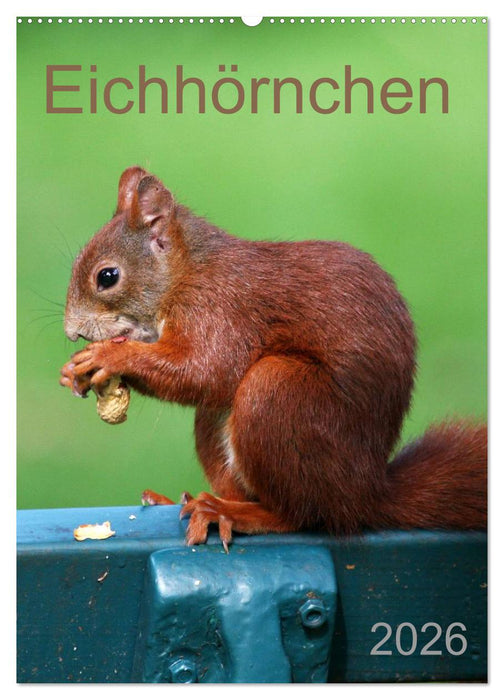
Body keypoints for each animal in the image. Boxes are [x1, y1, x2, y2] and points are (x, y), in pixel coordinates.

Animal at [60, 166, 487, 549]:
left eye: (107, 276)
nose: (71, 332)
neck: (187, 272)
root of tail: (364, 494)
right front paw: (73, 372)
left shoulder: (221, 308)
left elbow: (206, 372)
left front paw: (110, 356)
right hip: (227, 420)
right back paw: (195, 500)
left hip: (276, 393)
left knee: (303, 516)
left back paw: (231, 513)